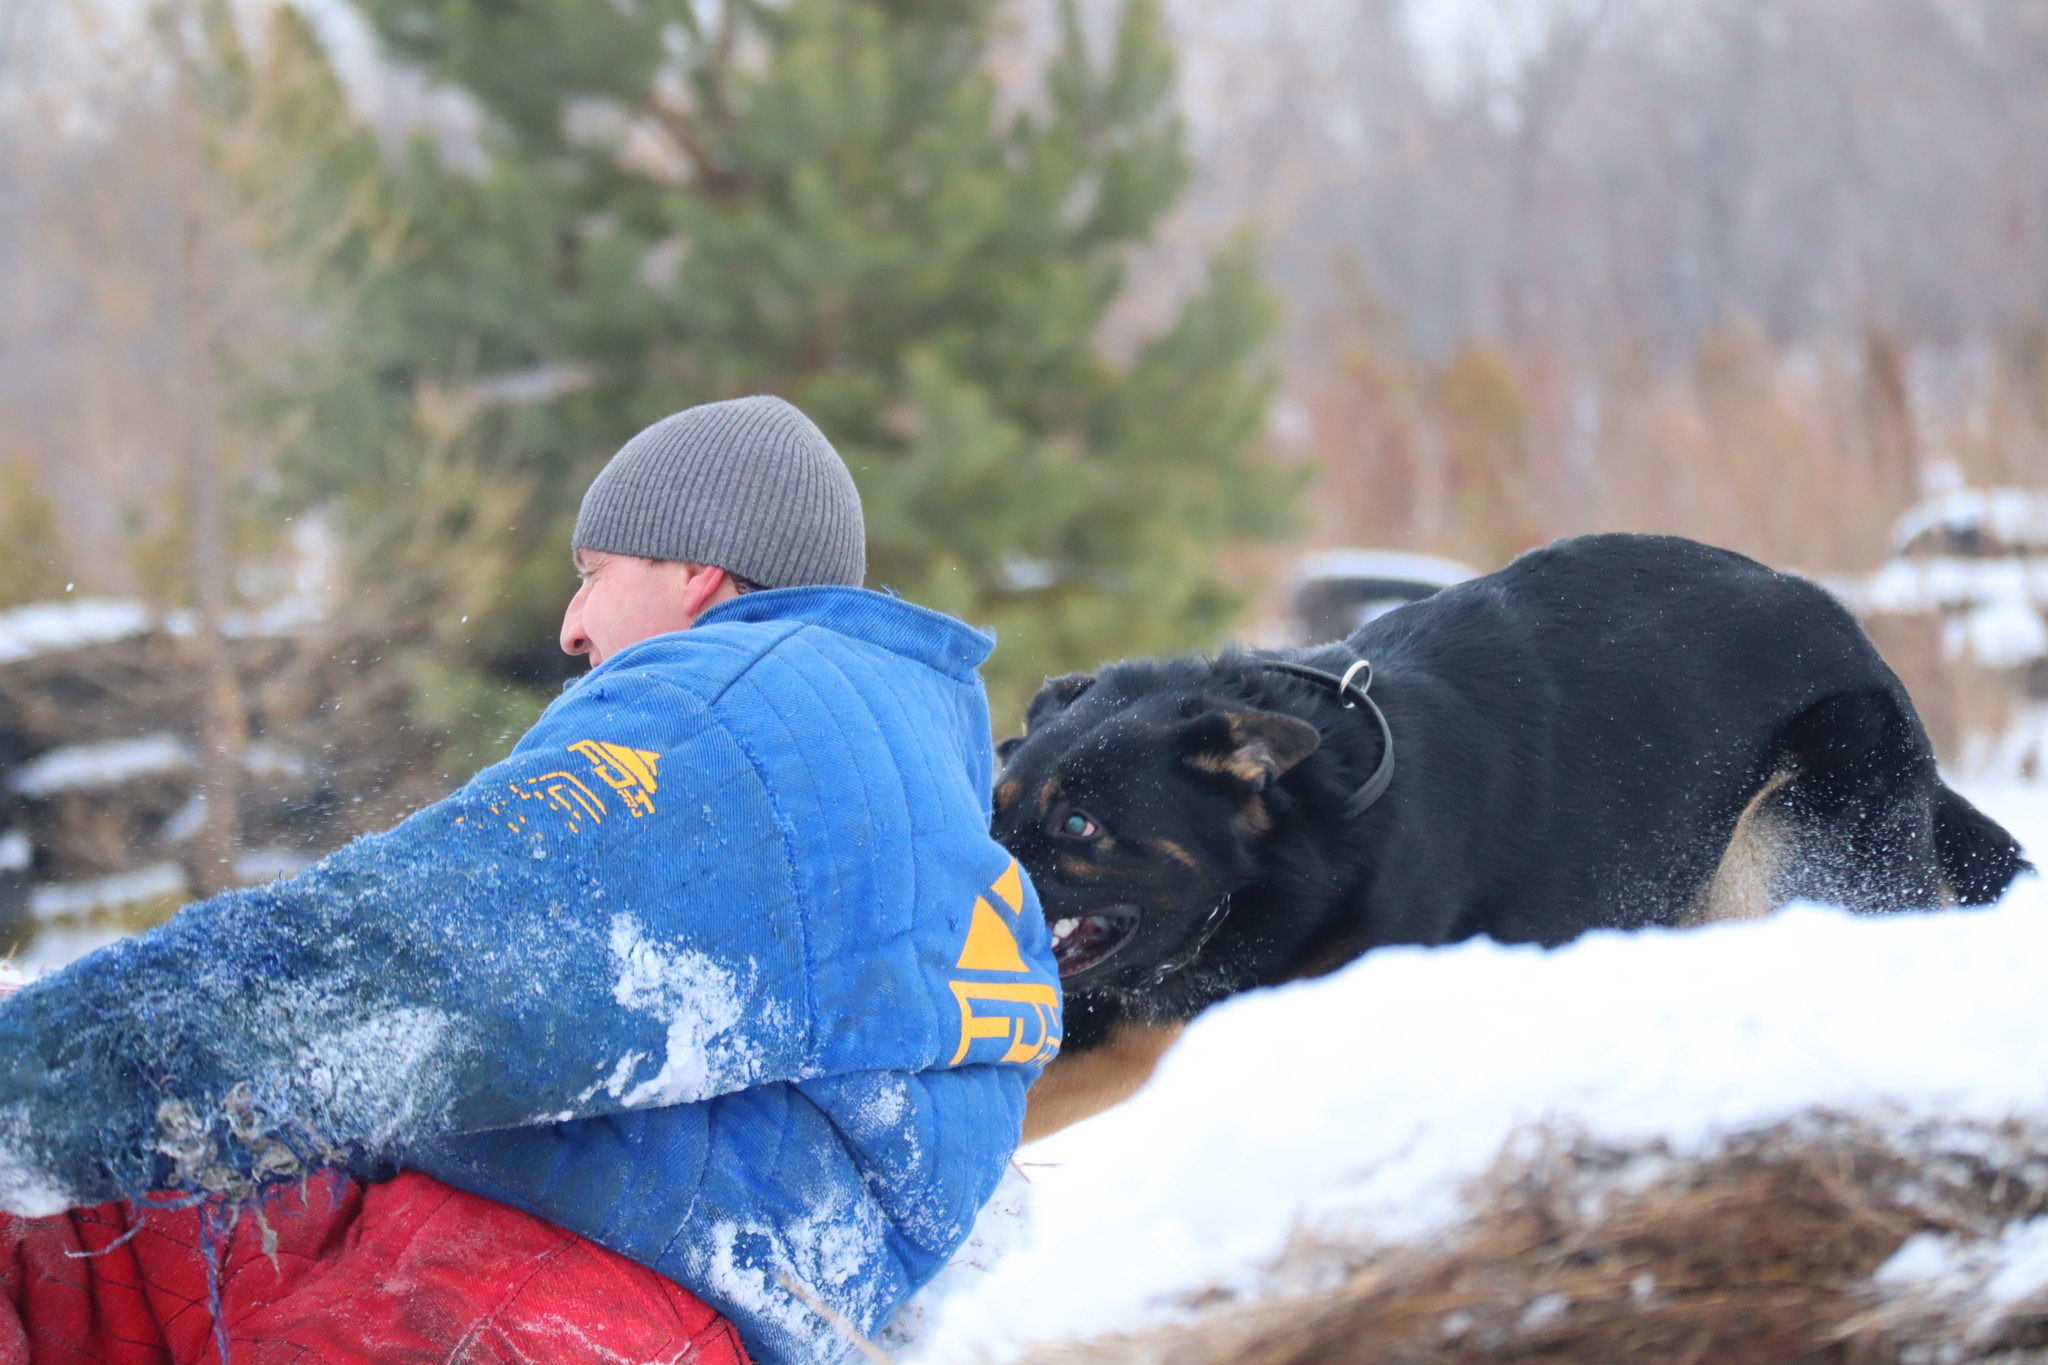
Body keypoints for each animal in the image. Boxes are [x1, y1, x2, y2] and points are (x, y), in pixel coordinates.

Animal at [995, 536, 2031, 1146]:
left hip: (1786, 835)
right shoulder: (1141, 1017)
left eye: (1079, 825)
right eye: (994, 802)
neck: (1306, 832)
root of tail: (1865, 647)